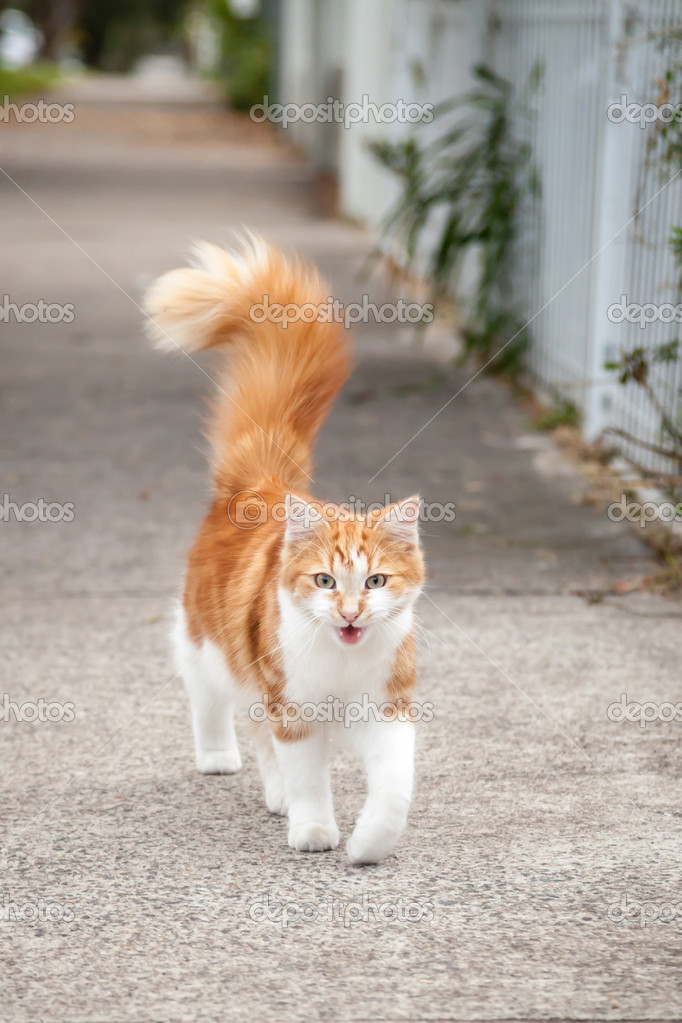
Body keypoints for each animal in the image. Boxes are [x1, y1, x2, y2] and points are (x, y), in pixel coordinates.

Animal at [145, 234, 423, 863]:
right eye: (325, 581)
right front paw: (315, 831)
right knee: (212, 704)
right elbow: (308, 778)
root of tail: (262, 484)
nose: (350, 613)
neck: (342, 662)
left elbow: (393, 791)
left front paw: (368, 844)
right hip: (209, 646)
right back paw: (219, 758)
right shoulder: (294, 710)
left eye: (375, 582)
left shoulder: (387, 713)